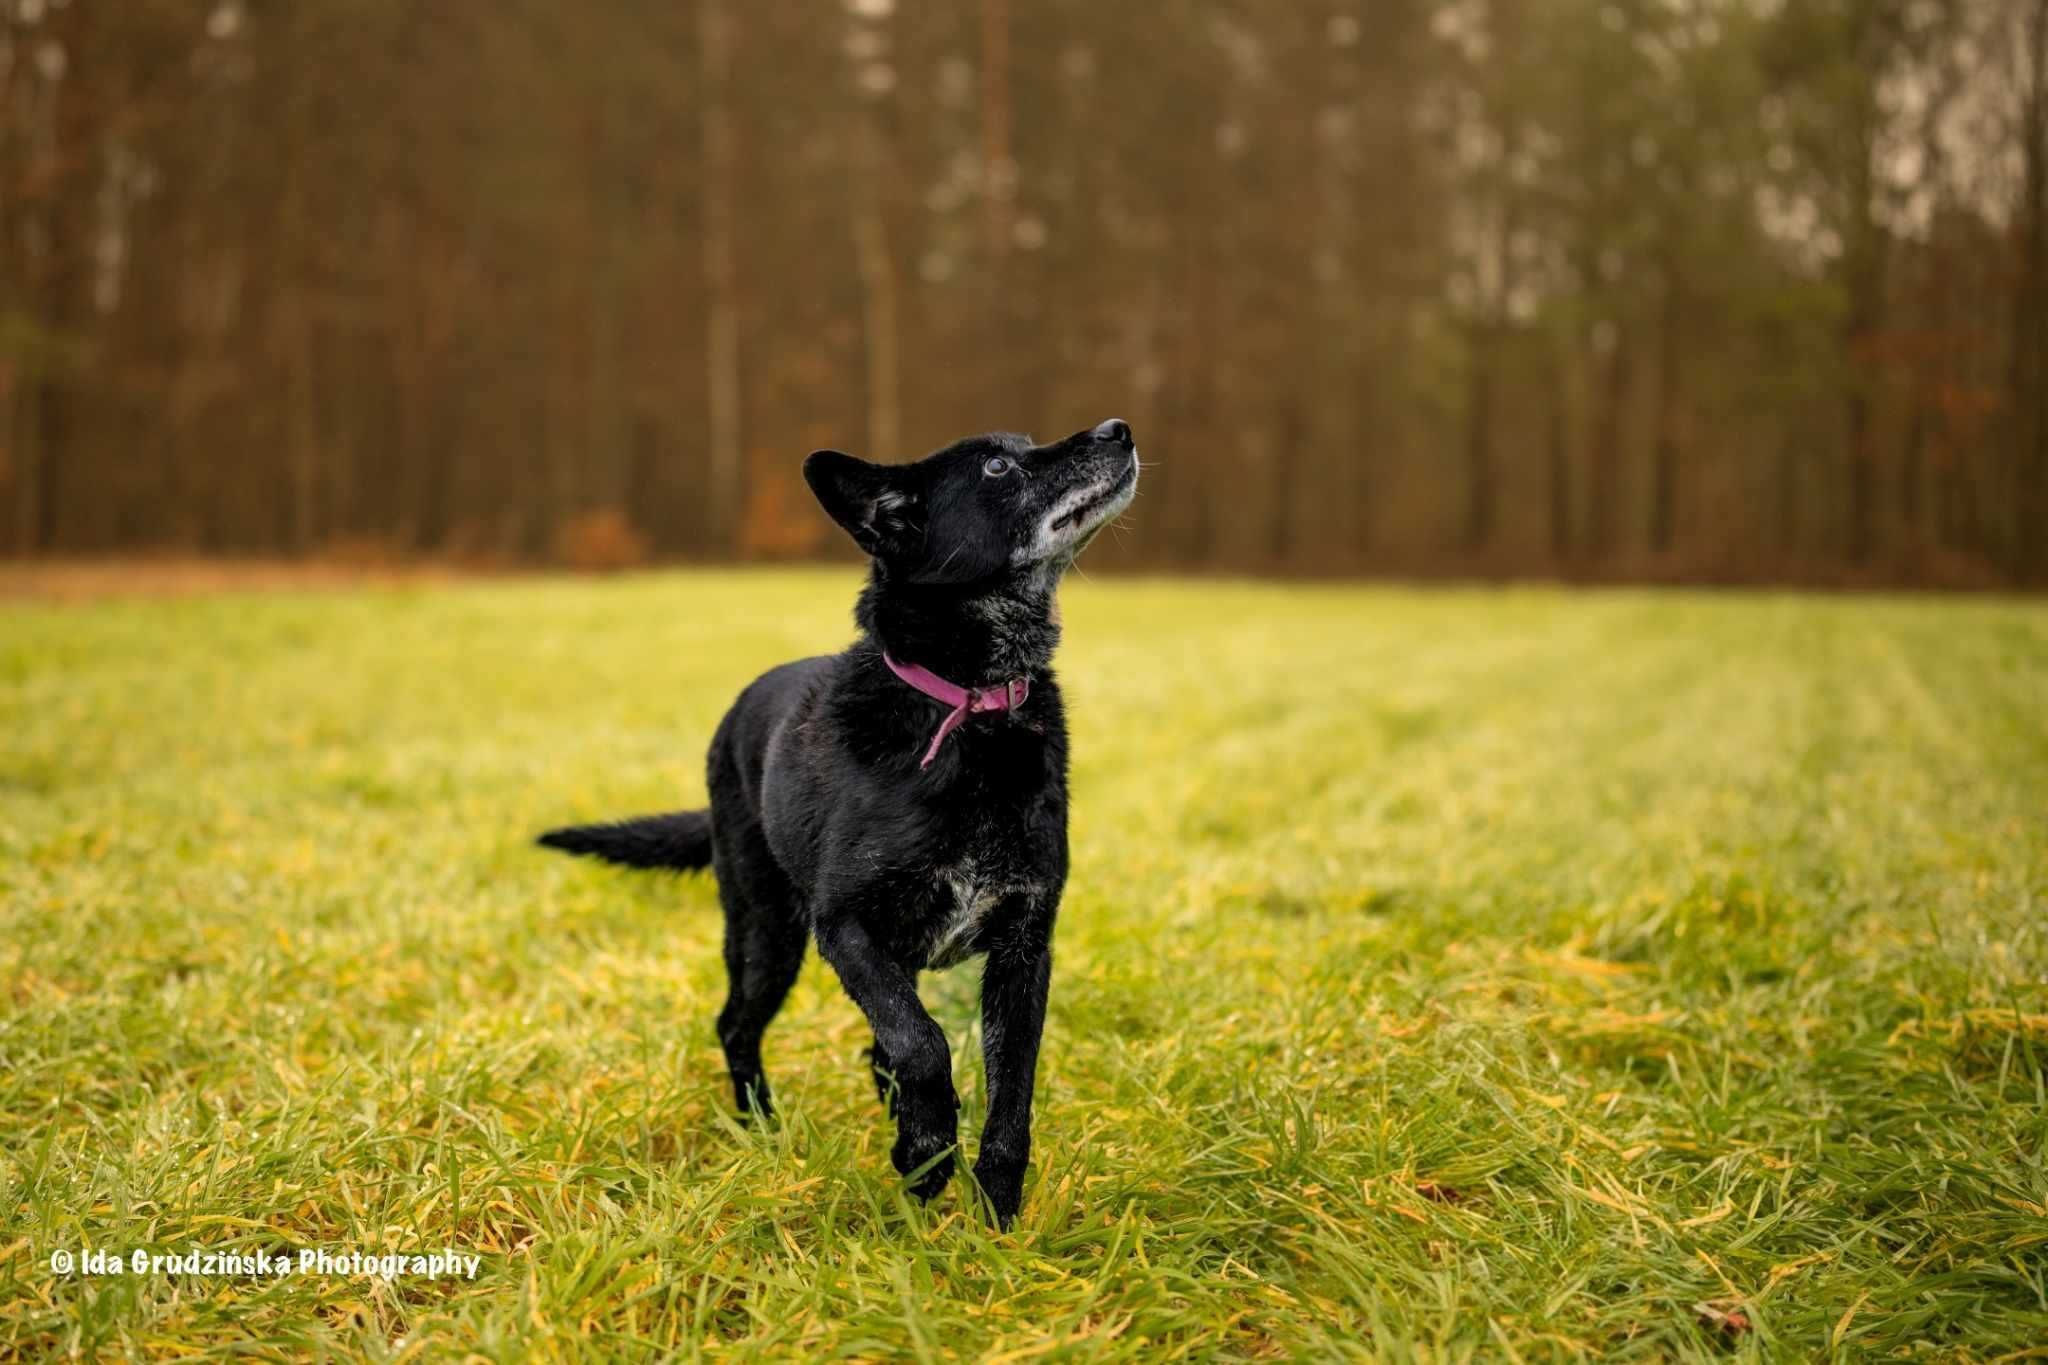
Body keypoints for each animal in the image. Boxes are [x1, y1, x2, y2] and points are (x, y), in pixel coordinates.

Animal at [540, 419, 1138, 1227]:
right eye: (997, 467)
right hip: (767, 930)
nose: (1119, 430)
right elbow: (922, 1042)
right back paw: (763, 1124)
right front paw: (926, 1155)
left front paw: (996, 1215)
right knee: (739, 1023)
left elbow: (1009, 1088)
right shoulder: (846, 925)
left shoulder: (1024, 945)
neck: (969, 704)